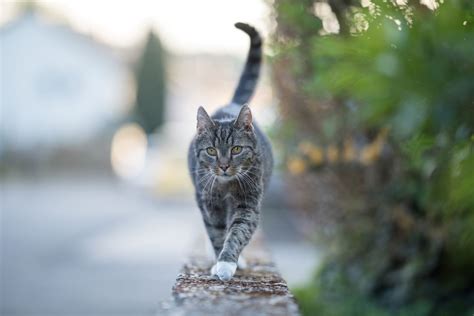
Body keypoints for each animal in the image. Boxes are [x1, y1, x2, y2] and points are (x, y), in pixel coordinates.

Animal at [186, 23, 272, 282]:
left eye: (236, 149)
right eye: (211, 150)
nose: (224, 166)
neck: (226, 187)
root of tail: (230, 105)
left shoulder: (248, 203)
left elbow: (237, 233)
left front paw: (227, 263)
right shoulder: (209, 203)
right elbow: (216, 233)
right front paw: (219, 263)